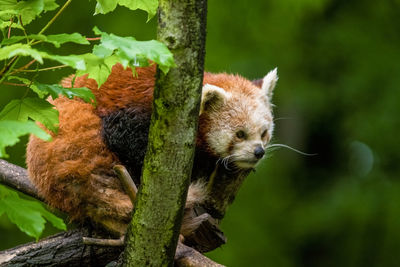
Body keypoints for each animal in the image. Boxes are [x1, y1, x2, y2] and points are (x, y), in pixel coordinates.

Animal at [25, 63, 278, 238]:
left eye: (264, 133)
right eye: (240, 134)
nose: (258, 152)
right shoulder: (137, 112)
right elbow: (127, 140)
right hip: (77, 139)